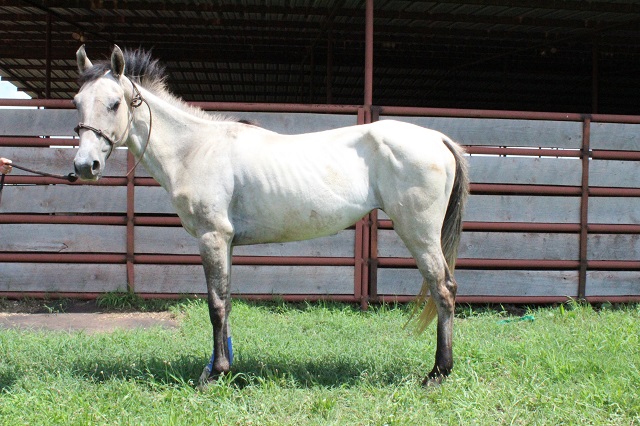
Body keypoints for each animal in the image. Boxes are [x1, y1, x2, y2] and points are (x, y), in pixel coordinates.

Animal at [72, 45, 470, 386]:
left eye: (114, 103)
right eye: (76, 103)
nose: (84, 166)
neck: (196, 148)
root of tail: (438, 139)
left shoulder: (211, 237)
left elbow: (216, 305)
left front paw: (214, 374)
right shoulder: (227, 242)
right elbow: (227, 300)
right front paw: (224, 367)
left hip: (419, 233)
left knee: (443, 289)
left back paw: (437, 373)